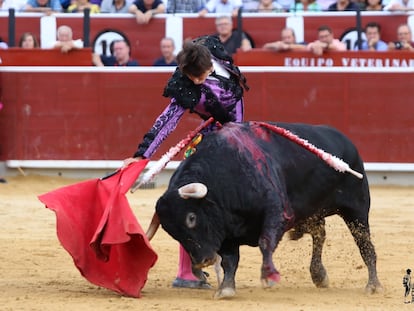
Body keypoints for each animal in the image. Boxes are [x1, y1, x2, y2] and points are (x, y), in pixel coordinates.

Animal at [147, 122, 384, 300]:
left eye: (191, 218)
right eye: (172, 233)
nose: (202, 261)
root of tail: (346, 141)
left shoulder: (276, 213)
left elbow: (265, 242)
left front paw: (268, 276)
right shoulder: (225, 231)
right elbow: (230, 260)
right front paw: (226, 289)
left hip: (356, 210)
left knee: (364, 244)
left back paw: (373, 285)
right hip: (312, 213)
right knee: (319, 234)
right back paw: (319, 275)